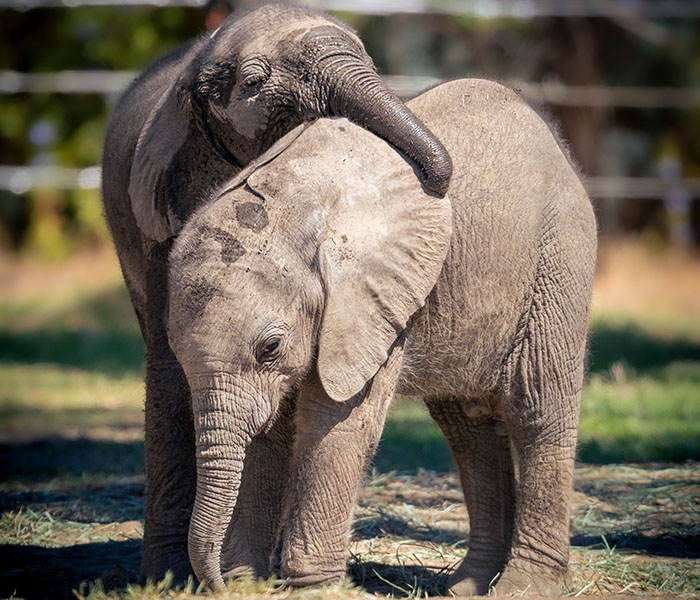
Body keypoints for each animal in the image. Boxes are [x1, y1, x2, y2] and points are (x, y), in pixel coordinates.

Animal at [165, 78, 597, 595]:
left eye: (270, 348)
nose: (217, 584)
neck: (288, 204)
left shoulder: (369, 303)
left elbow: (337, 423)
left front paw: (313, 590)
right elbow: (271, 429)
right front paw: (251, 584)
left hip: (558, 256)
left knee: (538, 410)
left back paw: (522, 588)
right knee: (467, 428)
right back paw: (465, 587)